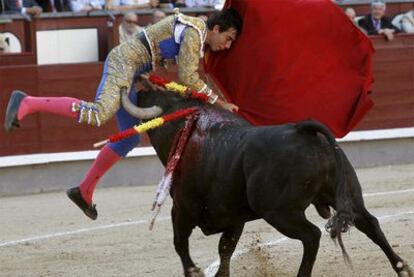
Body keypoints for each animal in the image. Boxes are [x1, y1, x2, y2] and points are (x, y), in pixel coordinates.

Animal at [121, 87, 412, 276]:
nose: (141, 85)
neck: (186, 129)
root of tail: (303, 131)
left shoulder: (182, 208)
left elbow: (181, 243)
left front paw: (194, 271)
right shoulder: (233, 218)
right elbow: (225, 250)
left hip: (279, 212)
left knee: (312, 235)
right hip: (348, 195)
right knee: (370, 223)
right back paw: (402, 267)